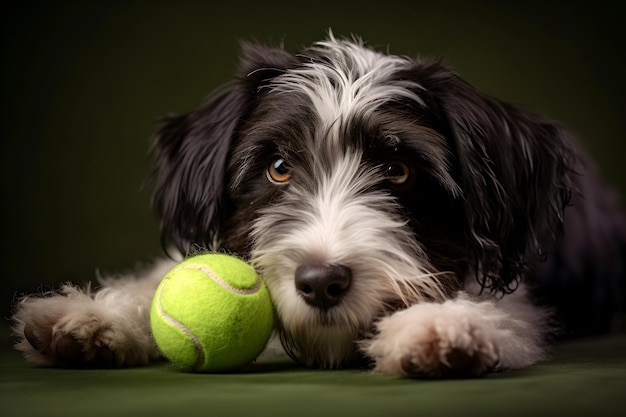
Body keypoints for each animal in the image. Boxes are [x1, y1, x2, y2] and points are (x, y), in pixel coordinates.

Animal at [13, 33, 624, 376]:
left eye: (398, 171)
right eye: (279, 167)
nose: (321, 282)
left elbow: (509, 305)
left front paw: (443, 325)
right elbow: (161, 275)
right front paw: (96, 317)